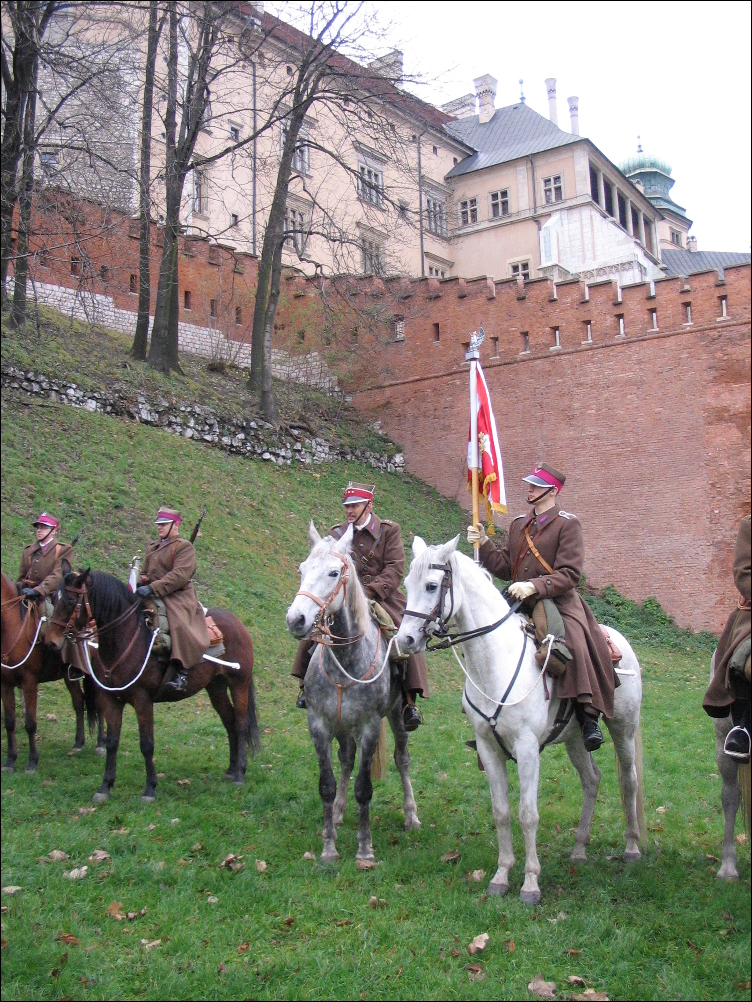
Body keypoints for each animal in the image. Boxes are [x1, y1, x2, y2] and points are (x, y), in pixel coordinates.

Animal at [0, 569, 103, 769]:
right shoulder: (5, 684)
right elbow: (9, 722)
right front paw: (10, 760)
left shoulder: (29, 682)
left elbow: (30, 723)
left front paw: (32, 761)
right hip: (68, 676)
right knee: (78, 702)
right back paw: (78, 743)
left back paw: (101, 744)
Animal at [47, 561, 260, 801]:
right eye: (55, 597)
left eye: (71, 600)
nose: (51, 641)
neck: (126, 640)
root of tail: (238, 623)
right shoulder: (111, 701)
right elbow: (112, 742)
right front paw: (105, 787)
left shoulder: (142, 701)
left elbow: (147, 744)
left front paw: (150, 788)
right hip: (216, 688)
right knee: (229, 722)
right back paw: (231, 770)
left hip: (238, 684)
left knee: (241, 724)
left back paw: (240, 774)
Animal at [284, 521, 421, 865]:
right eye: (302, 569)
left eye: (334, 573)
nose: (296, 620)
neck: (346, 660)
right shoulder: (319, 726)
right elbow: (327, 785)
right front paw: (328, 846)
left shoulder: (369, 728)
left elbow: (364, 788)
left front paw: (364, 848)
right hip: (342, 727)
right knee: (346, 759)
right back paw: (338, 813)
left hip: (396, 718)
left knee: (402, 759)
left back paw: (411, 815)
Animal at [397, 537, 645, 905]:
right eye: (406, 585)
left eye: (430, 586)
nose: (404, 641)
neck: (494, 661)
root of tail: (620, 641)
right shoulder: (487, 748)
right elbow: (501, 812)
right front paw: (501, 875)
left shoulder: (527, 749)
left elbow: (528, 814)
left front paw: (530, 883)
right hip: (574, 739)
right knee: (592, 779)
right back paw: (579, 849)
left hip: (624, 729)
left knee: (628, 781)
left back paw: (631, 847)